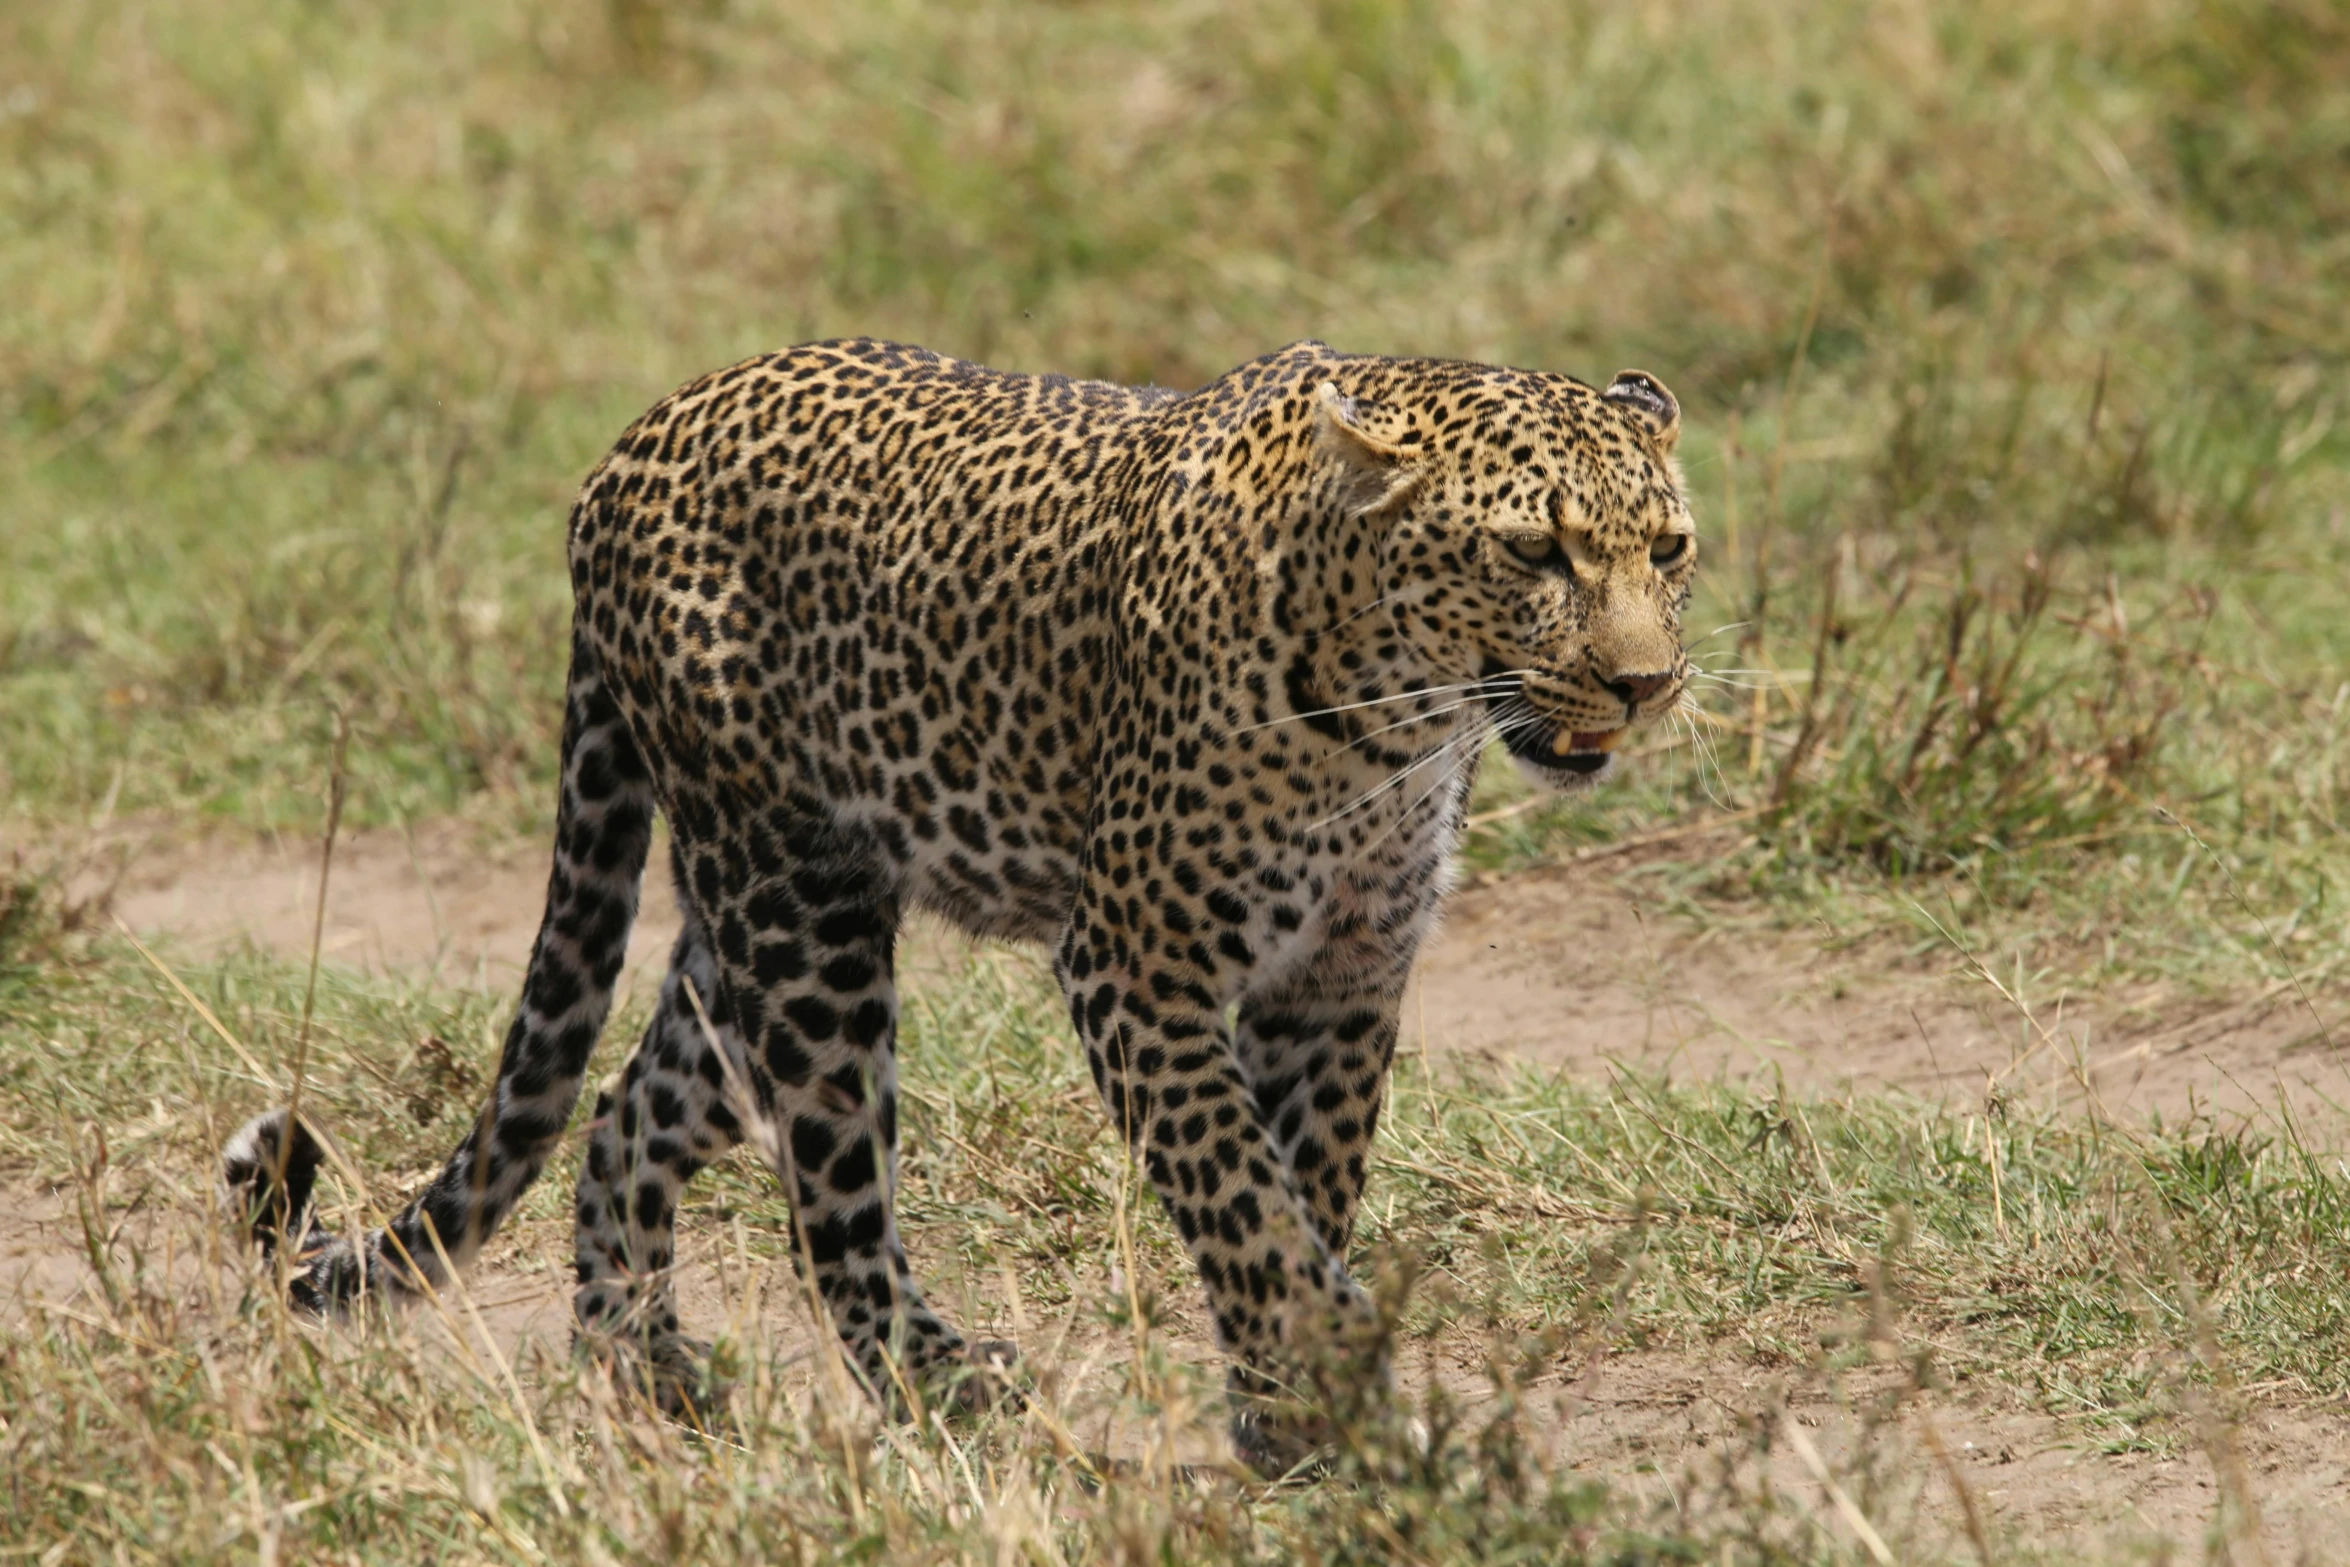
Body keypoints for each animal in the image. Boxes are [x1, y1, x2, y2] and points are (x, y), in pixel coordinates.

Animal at [224, 333, 1691, 1475]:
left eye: (1669, 548)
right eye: (1532, 550)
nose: (1646, 684)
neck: (1395, 720)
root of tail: (631, 441)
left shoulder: (1341, 977)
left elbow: (1304, 1187)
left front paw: (1289, 1416)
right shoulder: (1135, 968)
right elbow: (1248, 1201)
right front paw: (1337, 1381)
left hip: (754, 923)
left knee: (629, 1106)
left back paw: (643, 1373)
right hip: (801, 915)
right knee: (831, 1198)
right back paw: (940, 1385)